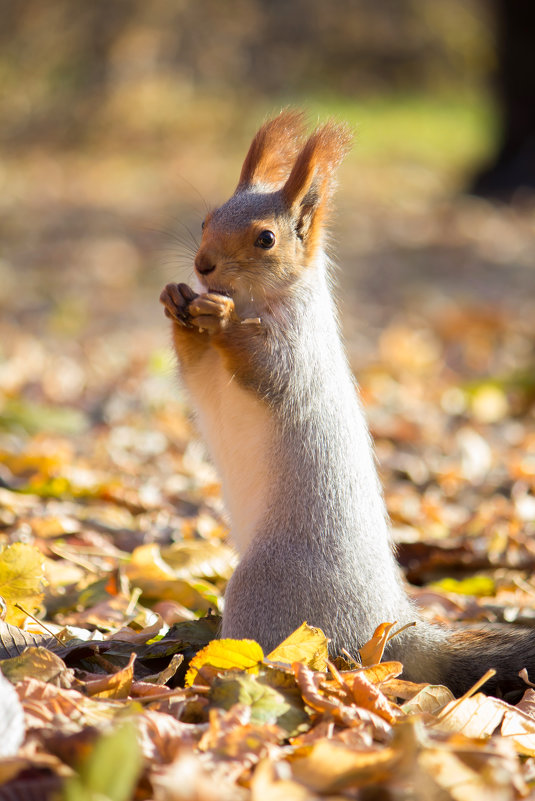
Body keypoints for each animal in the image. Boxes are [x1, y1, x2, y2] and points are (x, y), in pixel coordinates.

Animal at [161, 109, 535, 696]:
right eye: (206, 219)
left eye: (265, 238)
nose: (202, 266)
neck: (256, 300)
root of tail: (387, 626)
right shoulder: (207, 373)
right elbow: (197, 370)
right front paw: (177, 301)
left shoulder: (300, 355)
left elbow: (267, 370)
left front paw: (220, 320)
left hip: (267, 590)